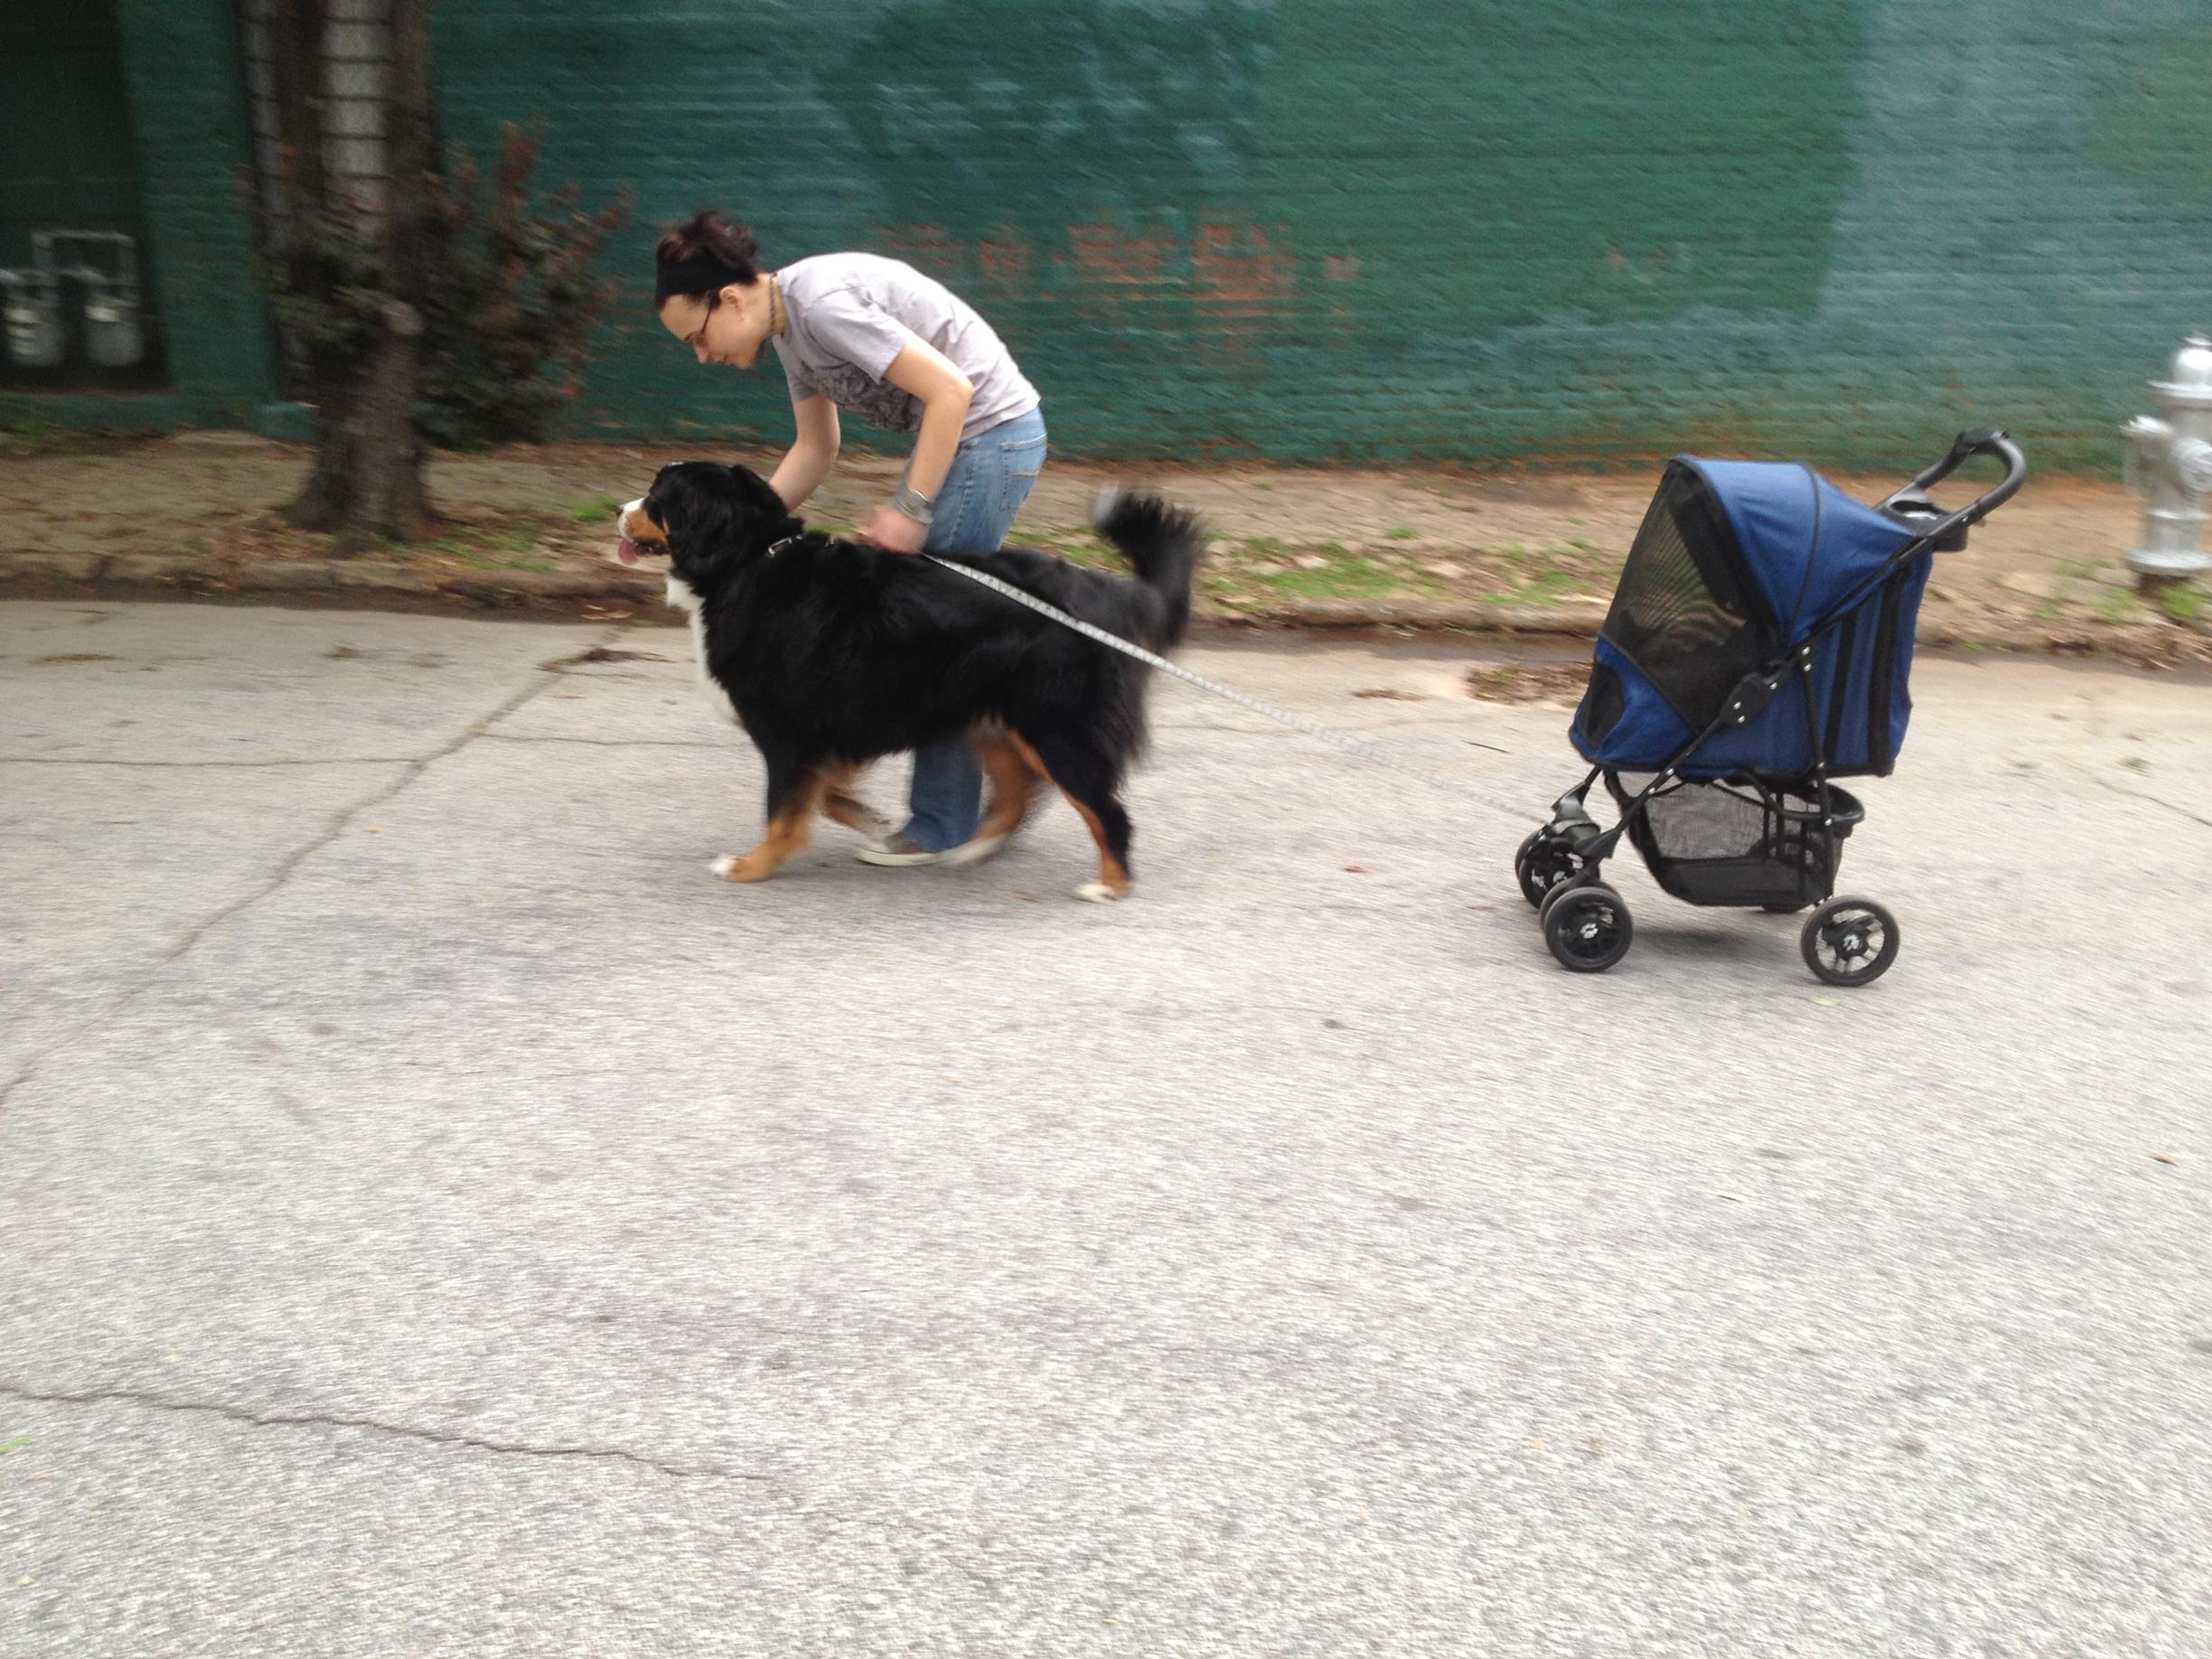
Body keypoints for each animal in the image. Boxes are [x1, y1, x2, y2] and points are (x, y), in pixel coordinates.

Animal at [614, 468, 1203, 902]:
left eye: (656, 497)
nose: (618, 512)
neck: (748, 560)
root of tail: (1108, 590)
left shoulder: (788, 734)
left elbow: (782, 809)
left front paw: (748, 866)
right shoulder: (827, 730)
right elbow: (823, 796)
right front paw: (872, 821)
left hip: (1056, 727)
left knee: (1106, 810)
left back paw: (1110, 886)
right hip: (992, 717)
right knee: (1017, 791)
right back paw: (972, 850)